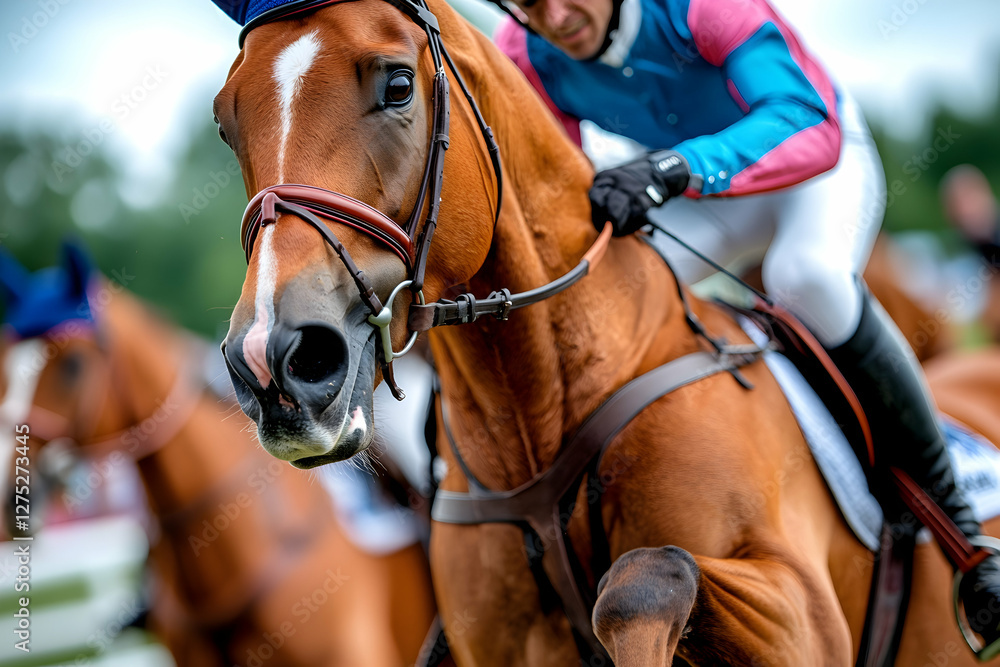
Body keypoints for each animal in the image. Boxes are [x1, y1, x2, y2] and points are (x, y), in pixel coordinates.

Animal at [214, 1, 1000, 664]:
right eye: (227, 122)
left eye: (399, 85)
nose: (273, 358)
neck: (536, 421)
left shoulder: (806, 617)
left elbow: (644, 578)